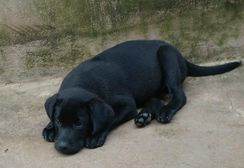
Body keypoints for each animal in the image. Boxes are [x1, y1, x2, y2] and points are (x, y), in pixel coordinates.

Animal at [42, 40, 240, 154]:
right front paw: (49, 128)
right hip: (149, 87)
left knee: (179, 95)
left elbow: (111, 118)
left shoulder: (127, 105)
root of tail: (182, 56)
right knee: (156, 99)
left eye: (79, 123)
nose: (62, 147)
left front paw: (96, 135)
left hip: (166, 56)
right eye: (59, 121)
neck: (82, 83)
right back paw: (145, 116)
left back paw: (165, 111)